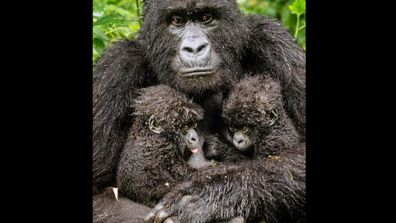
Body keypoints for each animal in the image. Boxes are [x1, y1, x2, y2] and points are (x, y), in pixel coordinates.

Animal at [93, 0, 306, 222]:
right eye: (177, 21)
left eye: (206, 18)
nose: (194, 48)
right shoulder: (116, 69)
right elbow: (100, 192)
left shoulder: (274, 42)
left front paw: (209, 196)